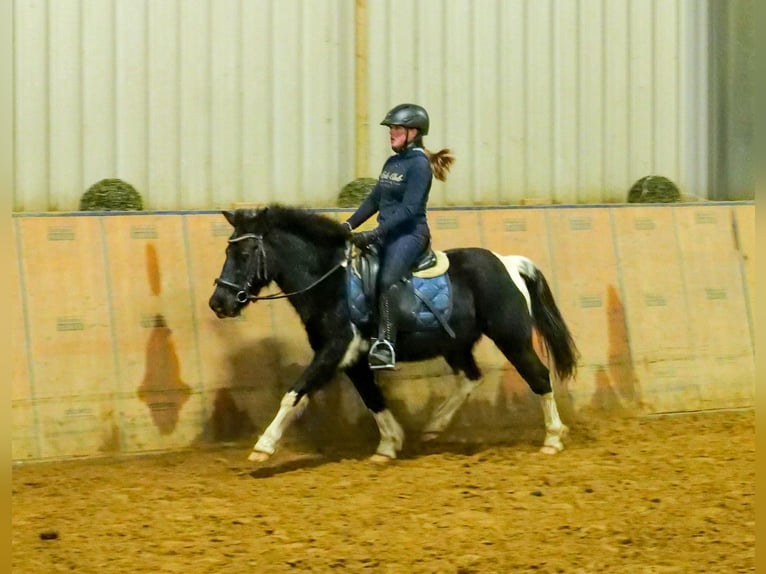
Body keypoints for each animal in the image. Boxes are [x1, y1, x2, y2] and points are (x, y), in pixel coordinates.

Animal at [207, 207, 580, 464]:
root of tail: (509, 263)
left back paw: (552, 439)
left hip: (511, 338)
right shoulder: (352, 358)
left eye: (243, 254)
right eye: (226, 252)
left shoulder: (333, 350)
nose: (219, 302)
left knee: (538, 376)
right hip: (455, 343)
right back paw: (435, 425)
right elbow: (372, 399)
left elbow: (294, 393)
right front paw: (389, 445)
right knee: (470, 376)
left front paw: (263, 446)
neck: (331, 282)